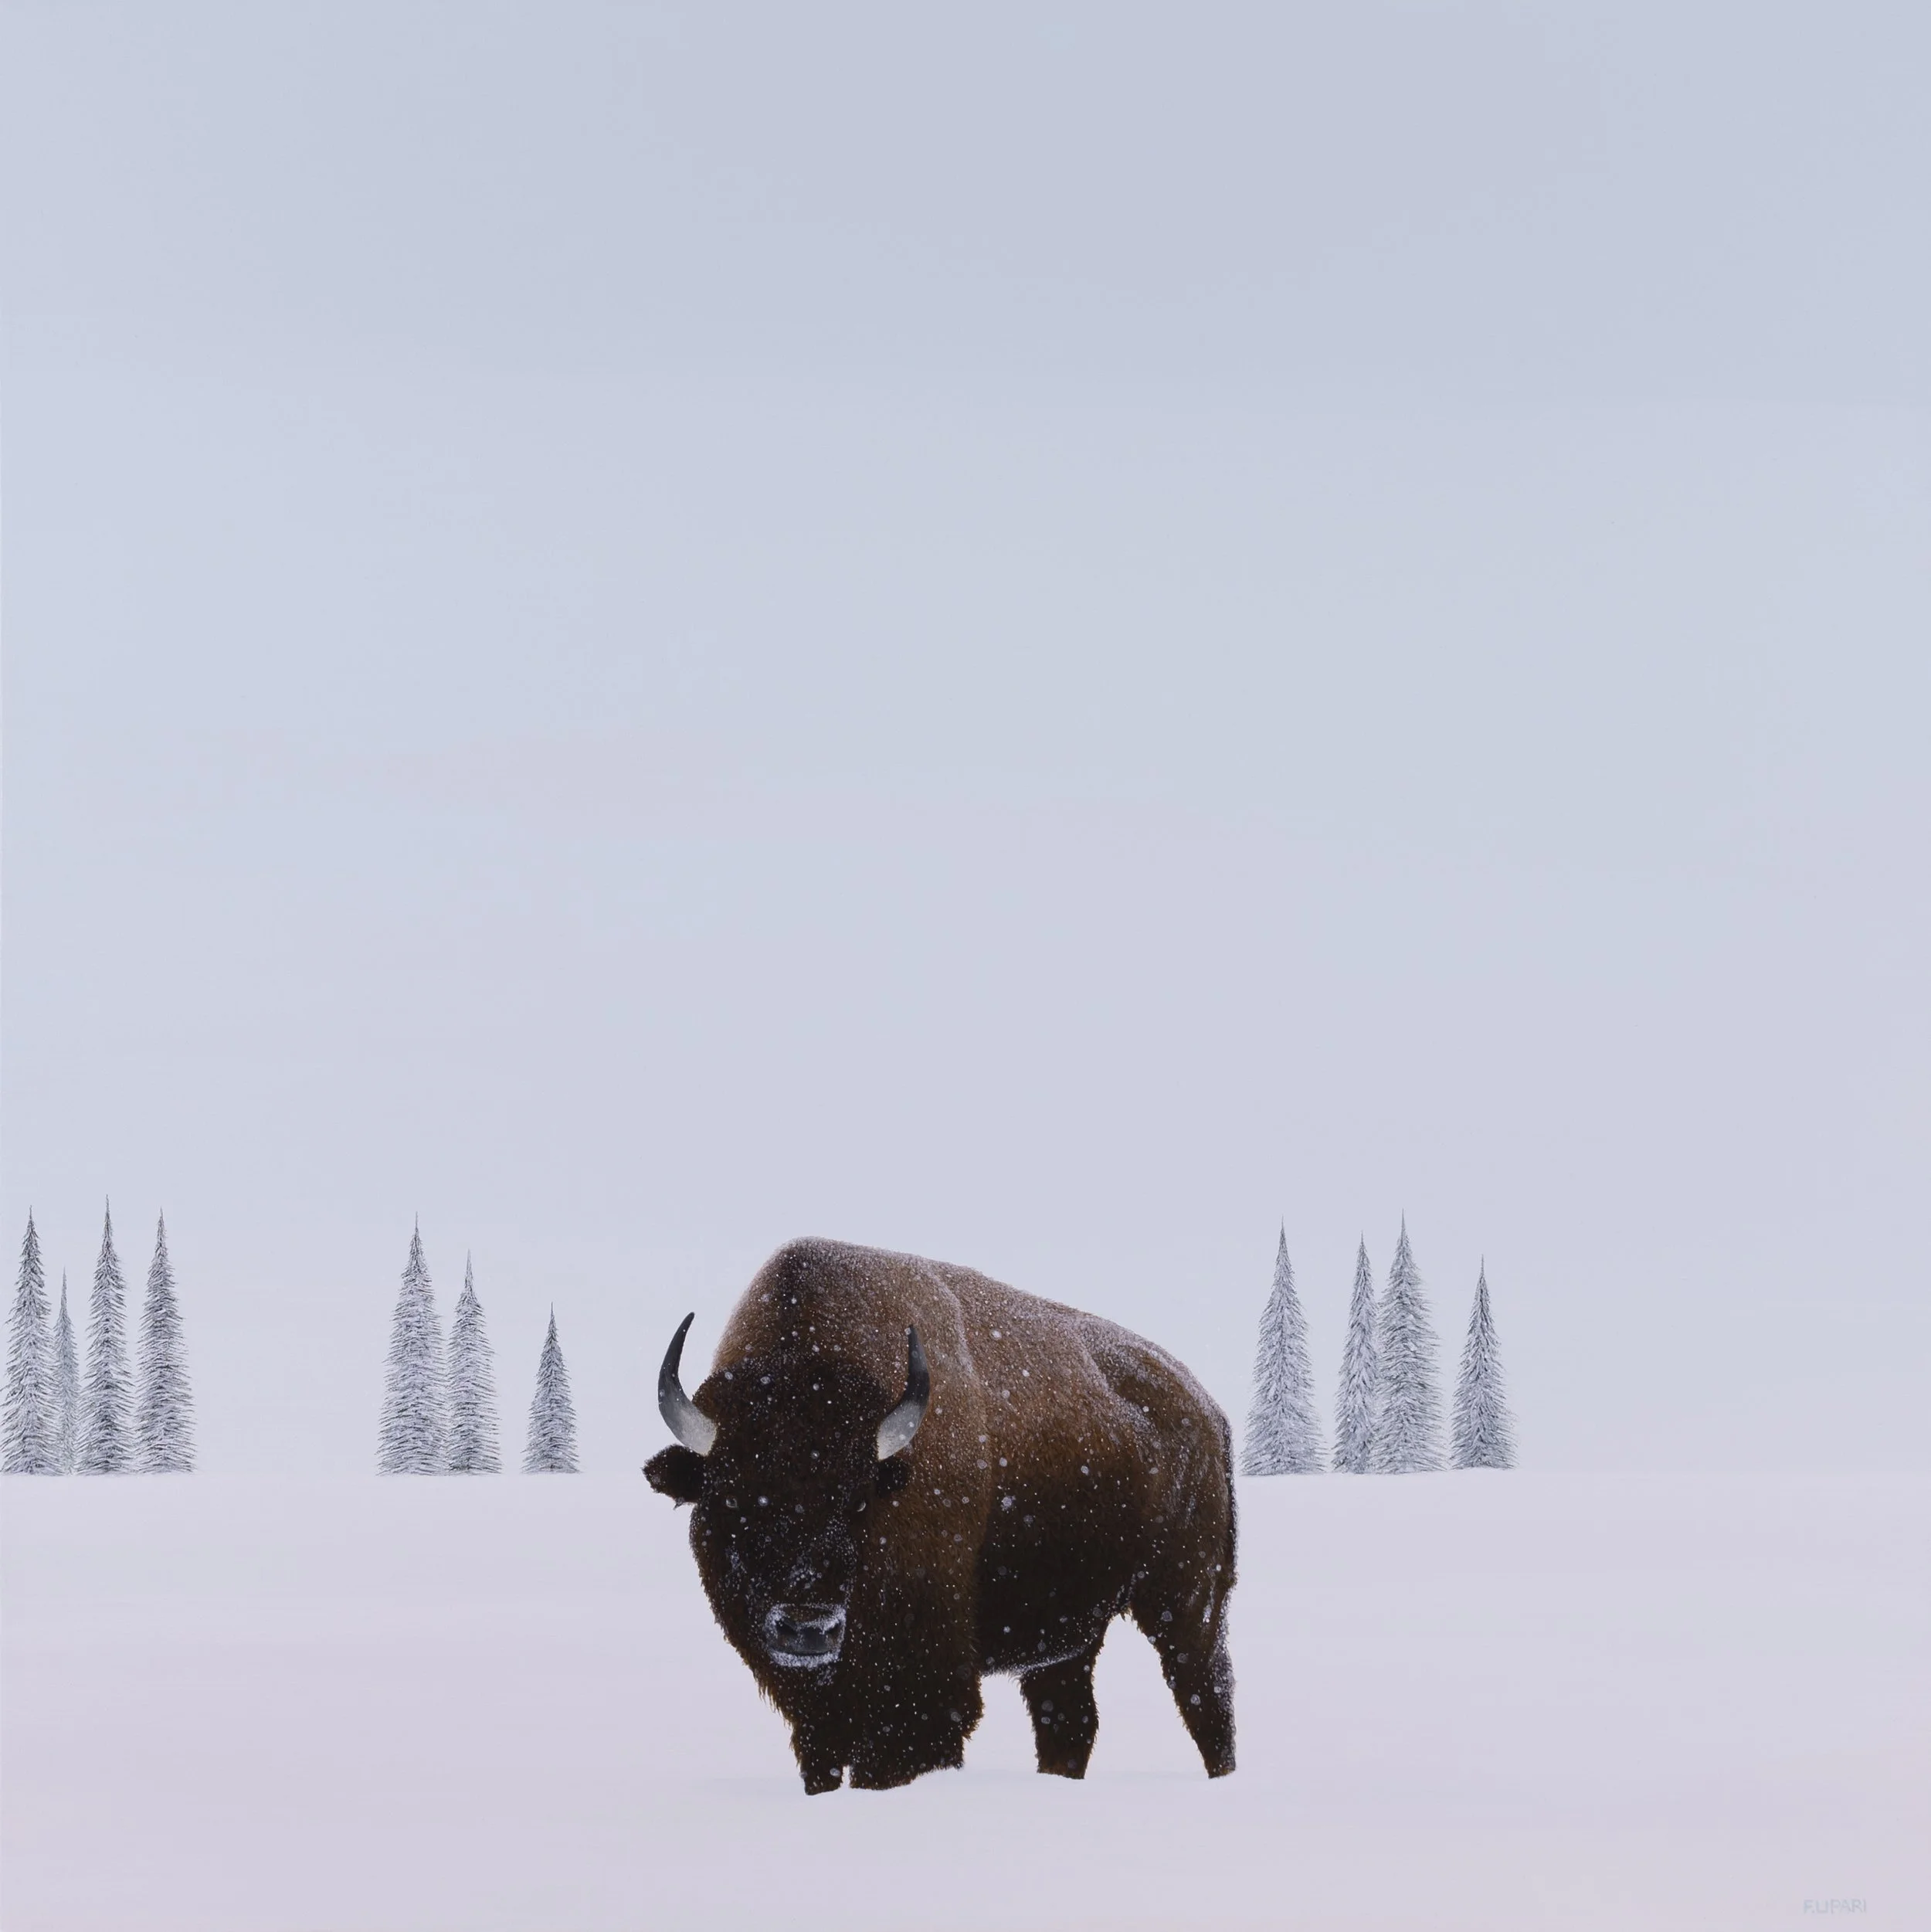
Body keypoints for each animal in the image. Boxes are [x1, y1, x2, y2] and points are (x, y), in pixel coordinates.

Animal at [644, 1237, 1236, 1792]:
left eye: (859, 1500)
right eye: (732, 1500)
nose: (808, 1628)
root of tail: (1206, 1408)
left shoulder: (923, 1692)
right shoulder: (817, 1712)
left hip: (1187, 1600)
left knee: (1207, 1698)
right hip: (1068, 1637)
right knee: (1069, 1720)